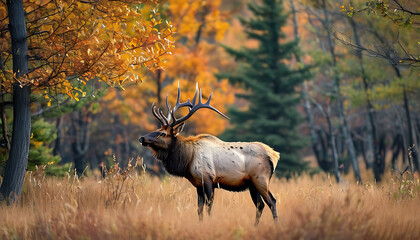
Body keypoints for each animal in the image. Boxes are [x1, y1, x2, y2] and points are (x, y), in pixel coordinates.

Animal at [139, 84, 280, 225]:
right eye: (157, 129)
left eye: (163, 133)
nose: (141, 138)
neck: (188, 160)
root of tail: (274, 155)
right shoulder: (198, 184)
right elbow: (199, 208)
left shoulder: (208, 178)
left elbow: (209, 206)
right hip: (252, 184)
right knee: (260, 205)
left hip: (260, 179)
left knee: (272, 201)